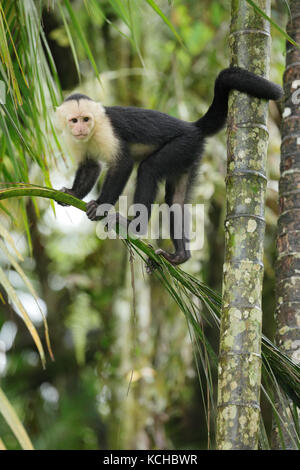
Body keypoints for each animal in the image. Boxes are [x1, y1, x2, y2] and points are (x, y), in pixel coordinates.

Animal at [55, 67, 282, 264]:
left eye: (86, 119)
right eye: (74, 120)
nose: (81, 128)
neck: (92, 132)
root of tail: (192, 127)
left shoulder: (106, 130)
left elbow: (123, 163)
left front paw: (101, 206)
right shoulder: (73, 139)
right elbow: (90, 166)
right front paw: (73, 193)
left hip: (183, 144)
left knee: (148, 169)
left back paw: (134, 227)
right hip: (189, 156)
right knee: (176, 201)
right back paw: (181, 255)